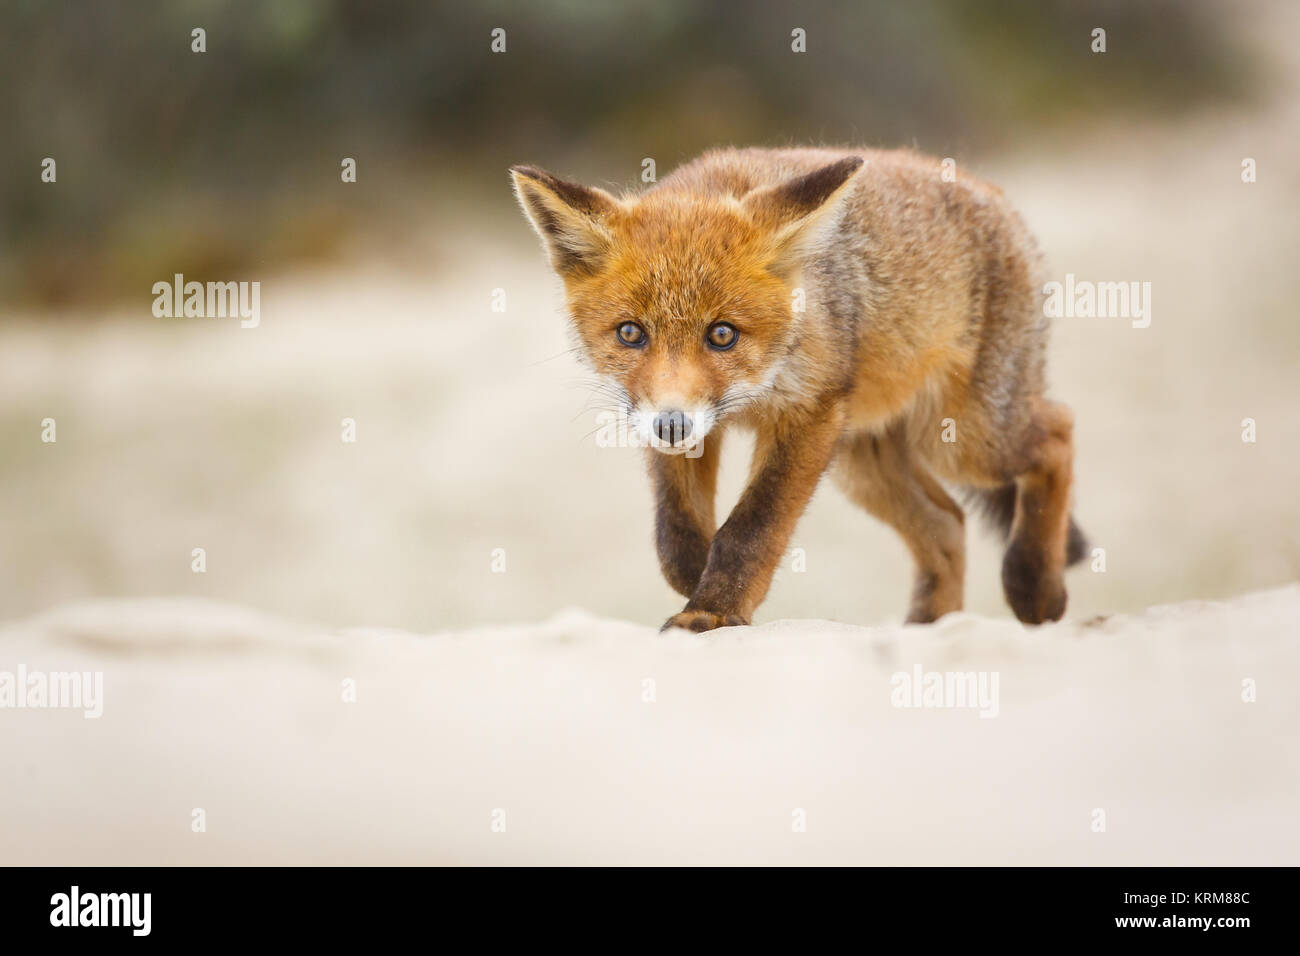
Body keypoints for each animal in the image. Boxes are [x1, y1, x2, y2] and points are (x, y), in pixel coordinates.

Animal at [510, 147, 1087, 633]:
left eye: (722, 334)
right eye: (631, 333)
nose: (670, 426)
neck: (757, 388)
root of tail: (992, 191)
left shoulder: (808, 414)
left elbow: (751, 529)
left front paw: (711, 611)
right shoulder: (670, 418)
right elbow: (674, 535)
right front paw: (697, 577)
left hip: (964, 439)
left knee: (1058, 430)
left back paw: (1035, 584)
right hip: (863, 464)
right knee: (947, 523)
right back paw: (929, 628)